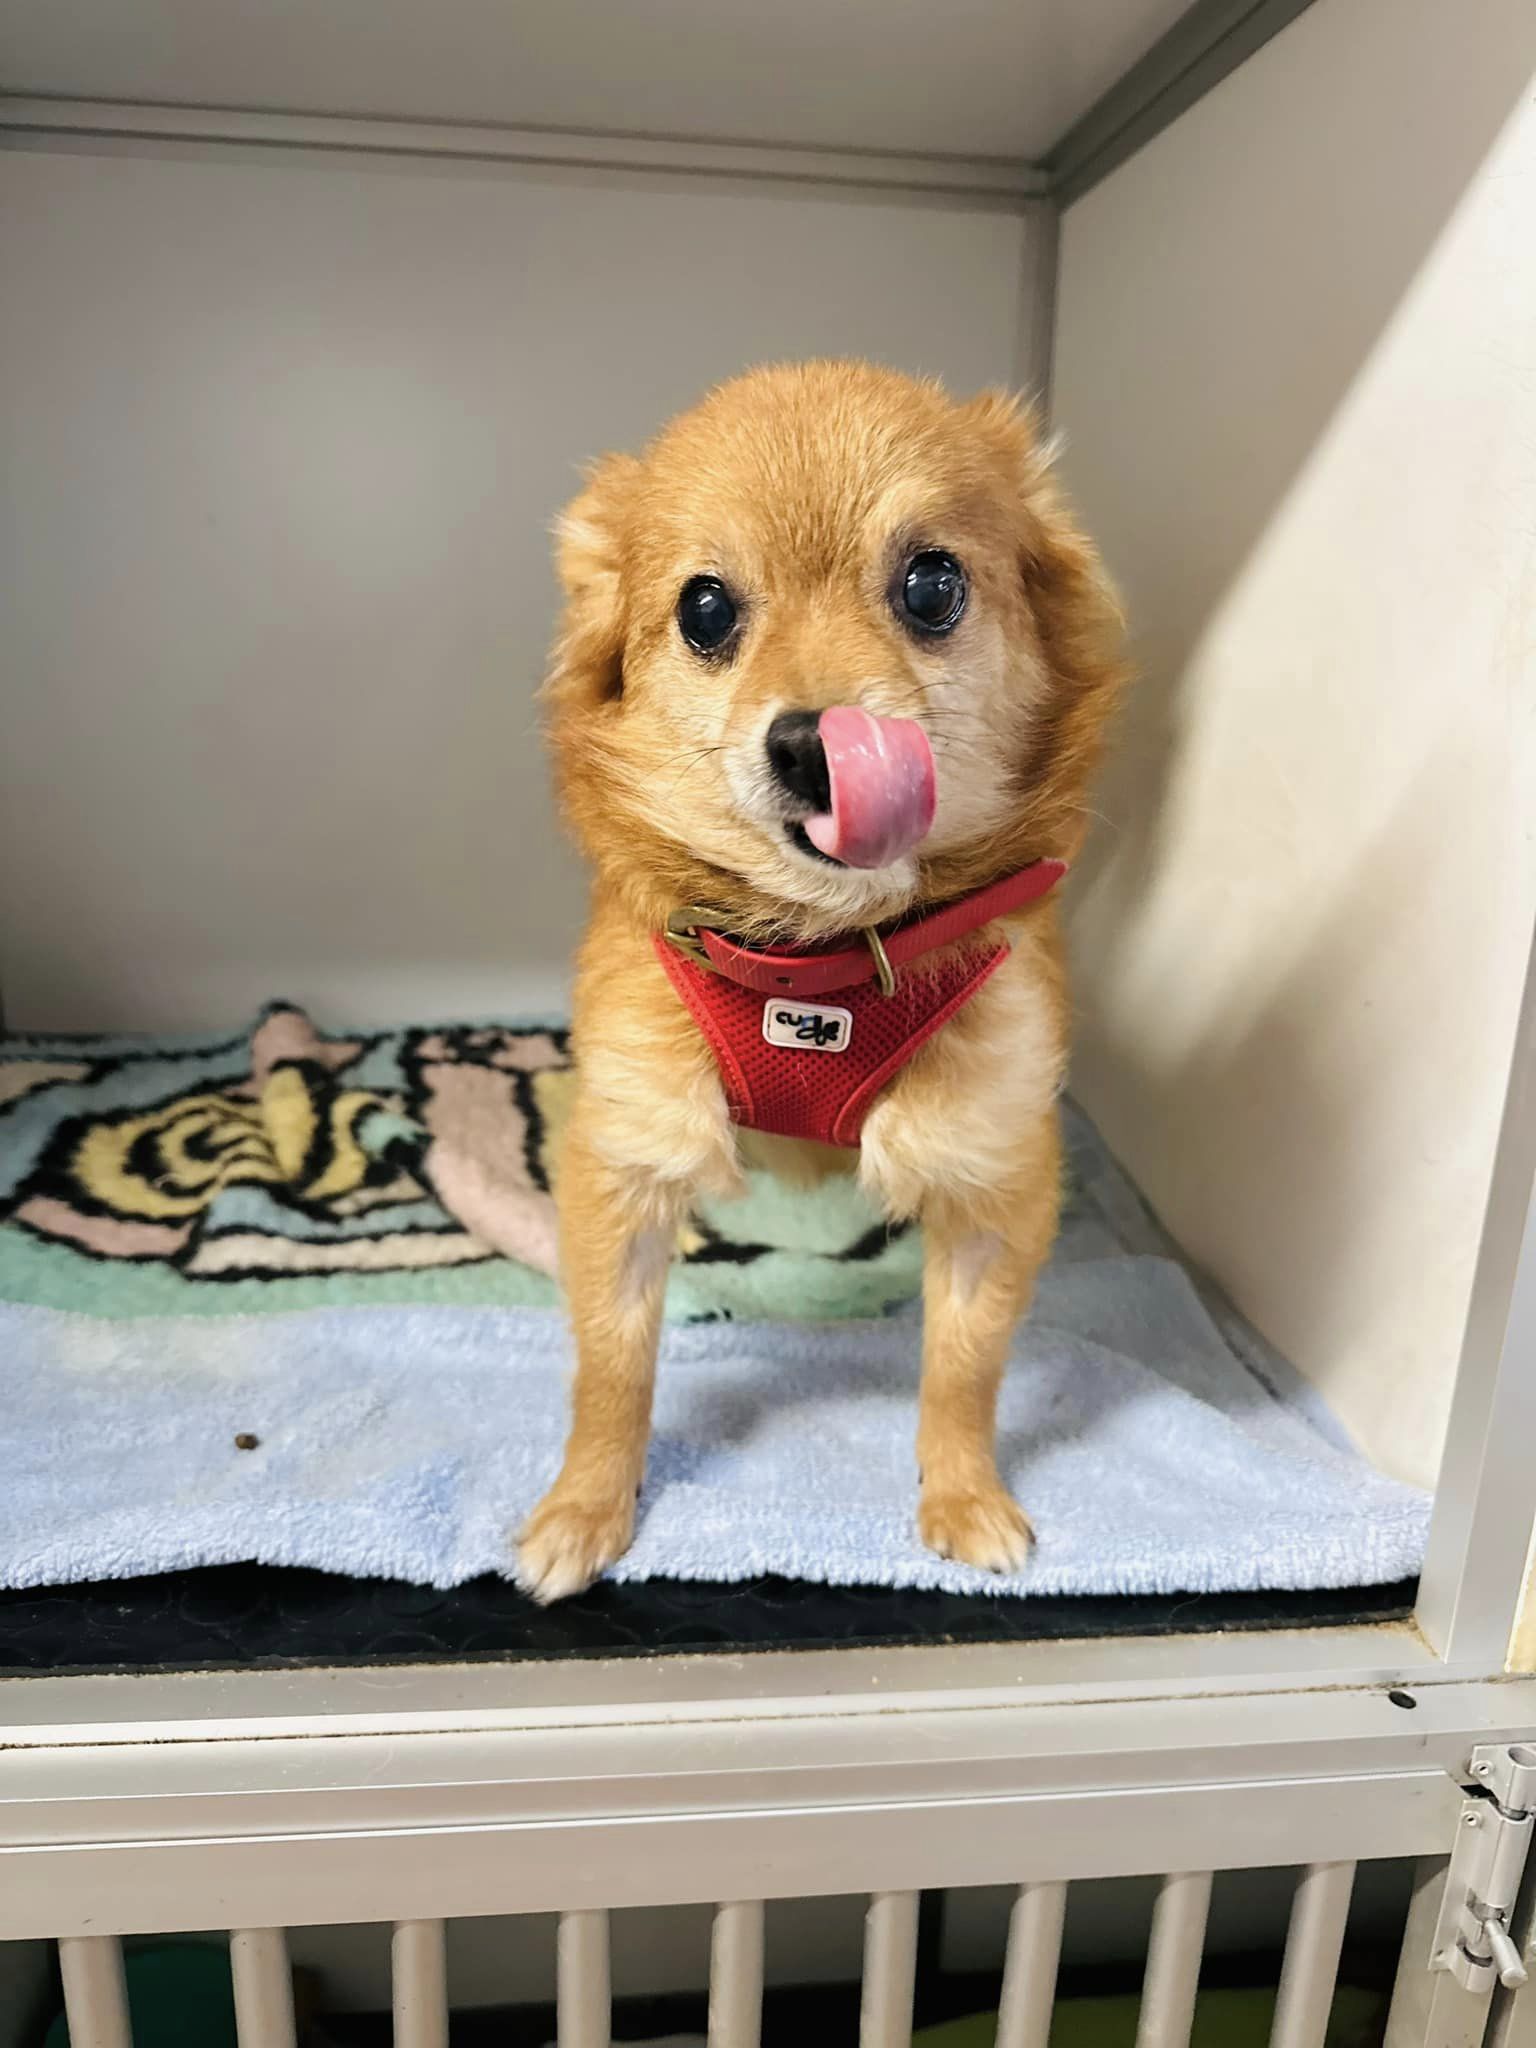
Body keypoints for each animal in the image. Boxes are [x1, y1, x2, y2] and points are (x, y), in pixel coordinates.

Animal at [518, 360, 1125, 1602]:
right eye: (705, 611)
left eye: (933, 584)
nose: (816, 742)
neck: (824, 954)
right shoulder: (625, 1159)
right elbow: (612, 1364)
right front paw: (586, 1507)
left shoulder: (992, 1176)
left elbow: (963, 1365)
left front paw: (964, 1495)